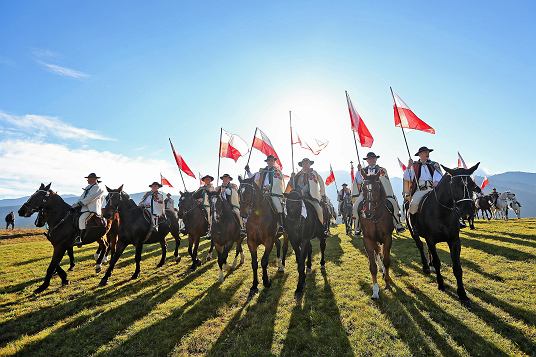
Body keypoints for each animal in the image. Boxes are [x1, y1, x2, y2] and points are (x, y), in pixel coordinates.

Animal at [406, 163, 482, 302]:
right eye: (454, 184)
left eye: (471, 184)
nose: (468, 210)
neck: (442, 212)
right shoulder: (431, 240)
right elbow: (437, 263)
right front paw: (441, 284)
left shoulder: (454, 241)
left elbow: (457, 268)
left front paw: (462, 294)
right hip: (414, 233)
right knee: (420, 246)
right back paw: (426, 266)